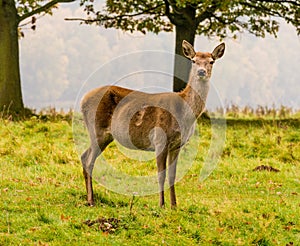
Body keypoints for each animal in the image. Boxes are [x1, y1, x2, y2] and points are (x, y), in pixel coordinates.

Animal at [80, 40, 225, 208]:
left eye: (211, 61)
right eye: (194, 60)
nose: (201, 72)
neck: (185, 116)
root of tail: (83, 100)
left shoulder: (177, 144)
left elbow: (172, 175)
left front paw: (174, 205)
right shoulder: (160, 140)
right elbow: (161, 175)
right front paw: (161, 205)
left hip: (105, 136)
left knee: (84, 156)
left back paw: (89, 197)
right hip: (97, 129)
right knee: (89, 161)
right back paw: (91, 200)